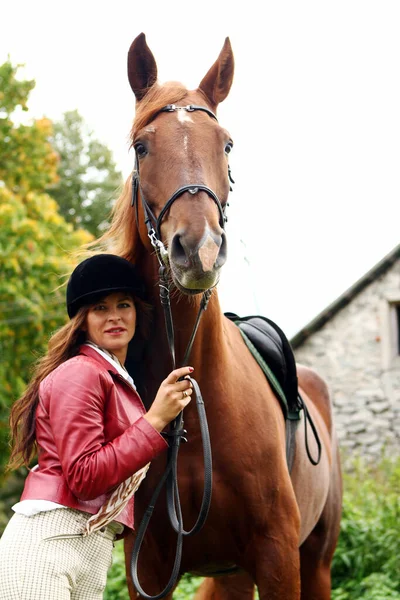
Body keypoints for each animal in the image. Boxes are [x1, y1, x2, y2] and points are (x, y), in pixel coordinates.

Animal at [98, 34, 342, 600]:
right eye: (141, 146)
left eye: (226, 145)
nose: (200, 250)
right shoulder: (150, 566)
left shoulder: (278, 557)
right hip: (234, 576)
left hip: (315, 562)